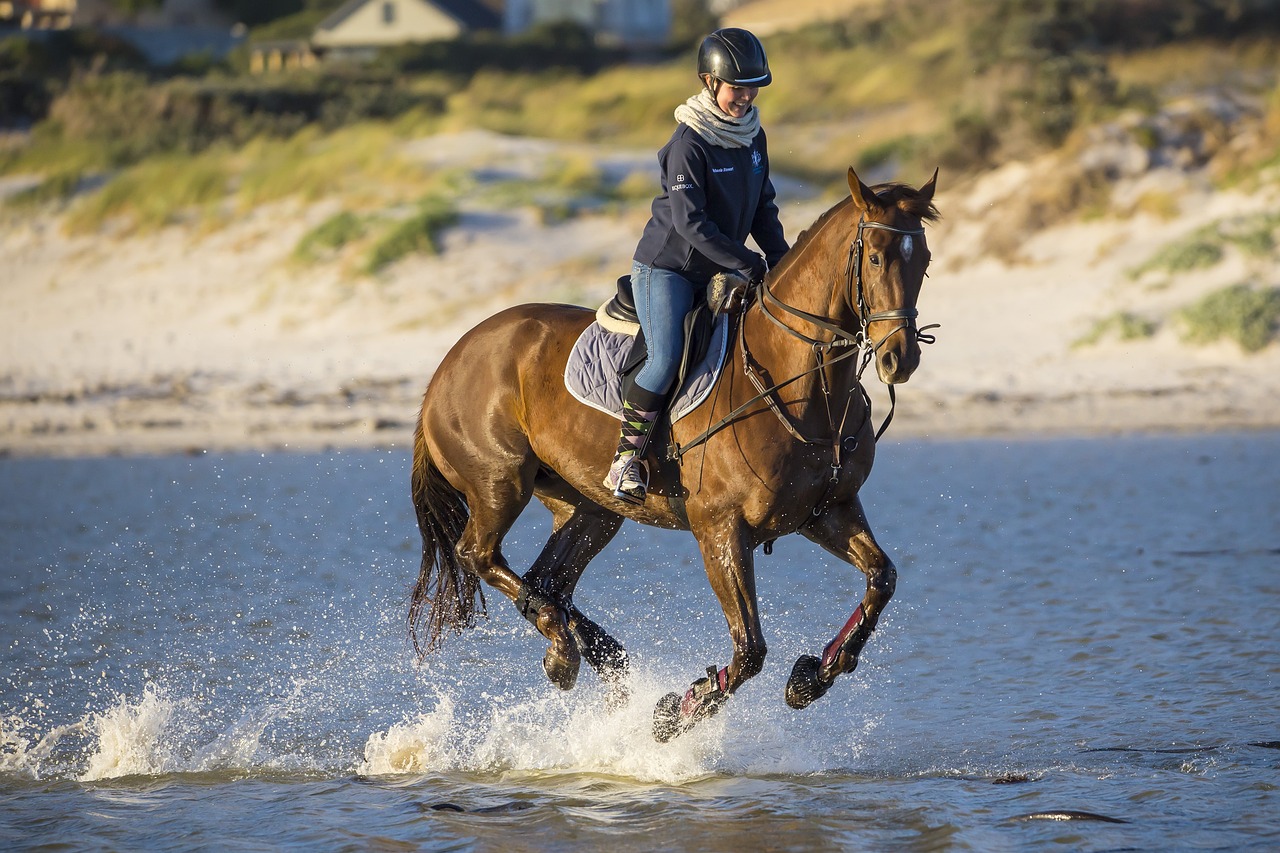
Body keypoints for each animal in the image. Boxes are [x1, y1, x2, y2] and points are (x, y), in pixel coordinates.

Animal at [409, 166, 942, 737]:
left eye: (924, 260)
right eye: (876, 258)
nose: (899, 358)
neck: (798, 385)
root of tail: (448, 362)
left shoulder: (827, 511)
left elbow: (881, 579)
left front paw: (811, 677)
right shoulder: (721, 530)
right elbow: (749, 650)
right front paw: (677, 712)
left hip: (589, 507)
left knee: (547, 580)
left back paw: (592, 656)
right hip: (499, 484)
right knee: (479, 554)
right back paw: (566, 652)